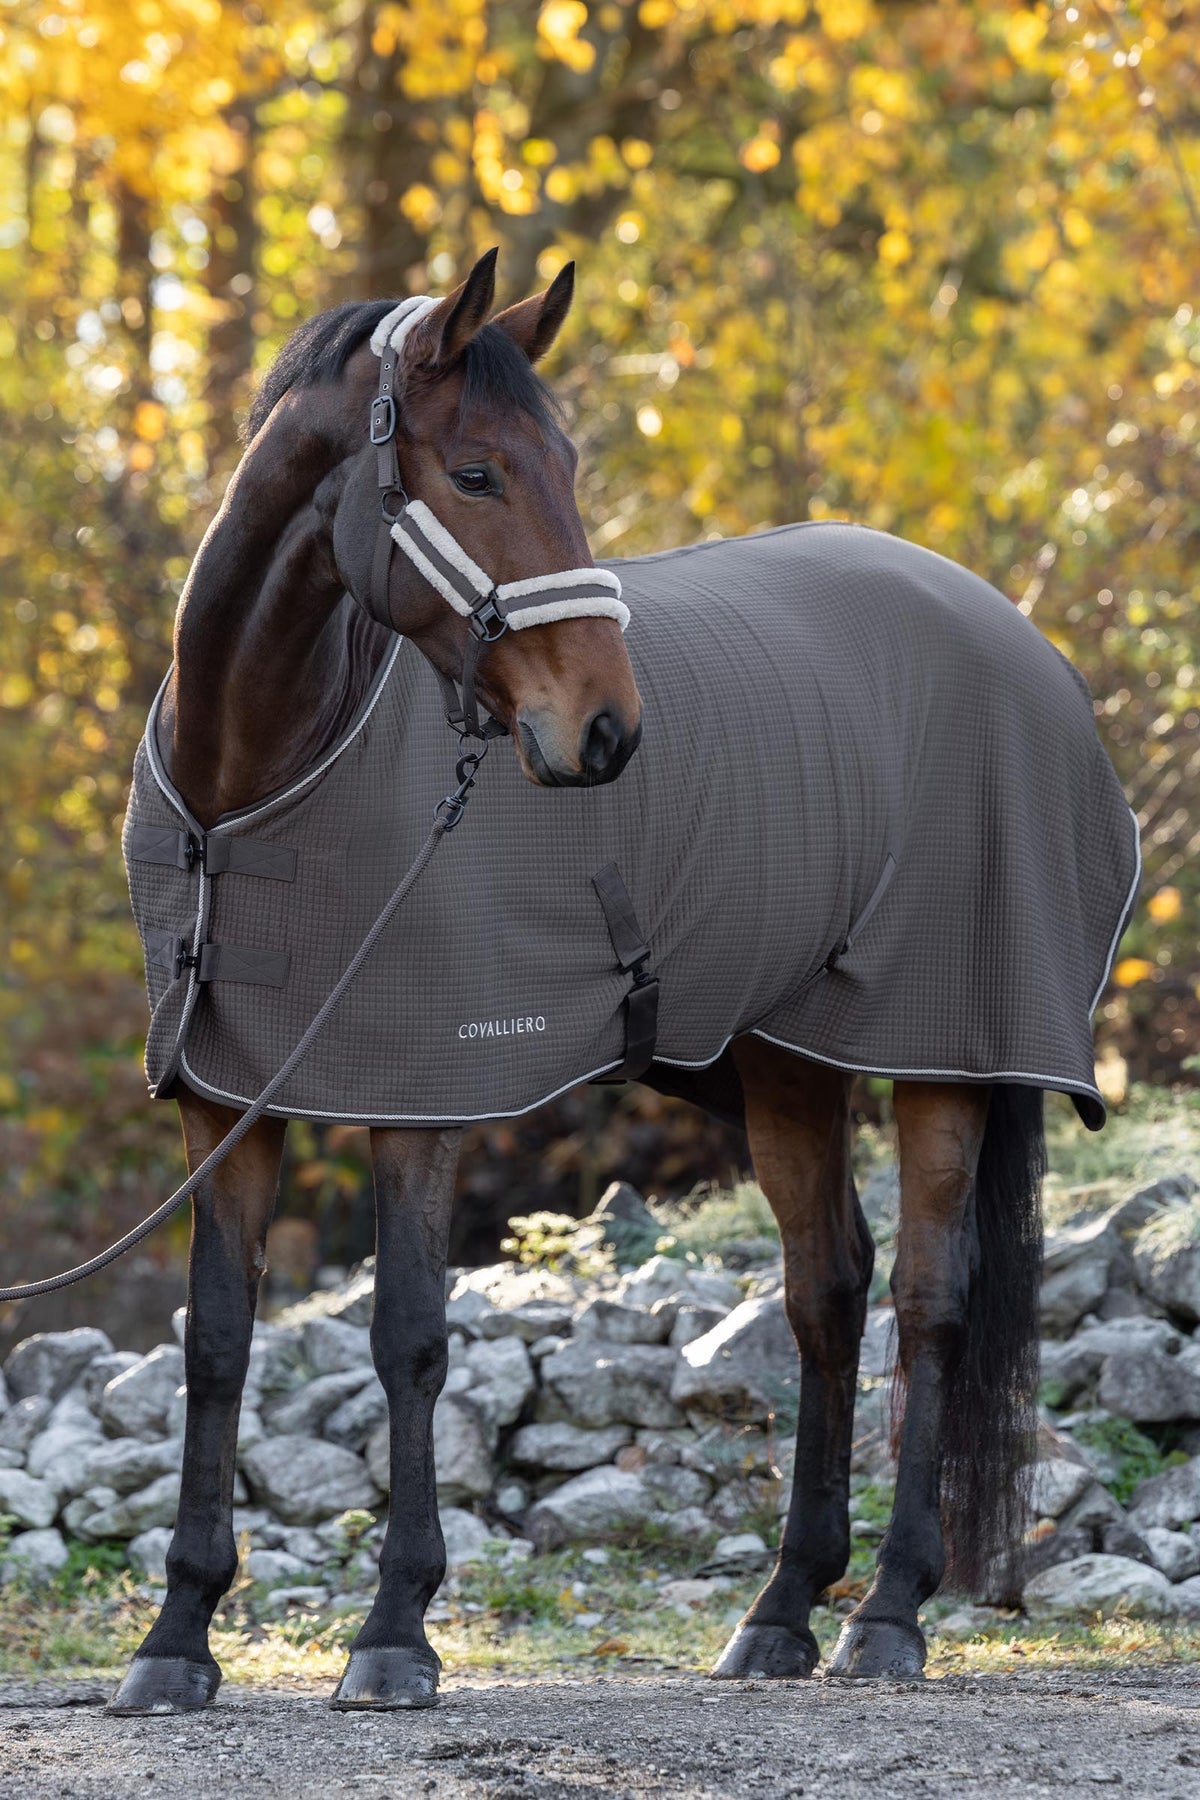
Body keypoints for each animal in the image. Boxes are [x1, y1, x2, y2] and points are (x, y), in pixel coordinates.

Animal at [108, 250, 1139, 1712]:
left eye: (570, 466)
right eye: (476, 473)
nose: (605, 731)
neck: (253, 784)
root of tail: (1015, 633)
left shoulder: (422, 1094)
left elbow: (408, 1336)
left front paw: (394, 1630)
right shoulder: (223, 1102)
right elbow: (216, 1341)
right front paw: (178, 1634)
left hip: (945, 1053)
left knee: (929, 1300)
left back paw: (889, 1612)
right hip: (791, 1063)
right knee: (827, 1291)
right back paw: (783, 1609)